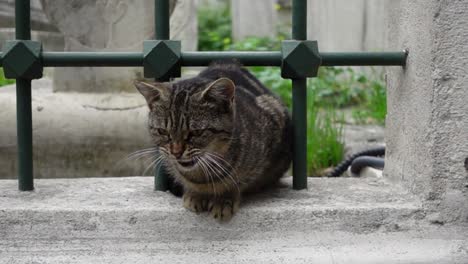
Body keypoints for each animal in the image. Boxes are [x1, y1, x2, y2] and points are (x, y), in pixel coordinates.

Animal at [133, 62, 290, 221]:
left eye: (196, 132)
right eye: (162, 131)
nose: (176, 152)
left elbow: (239, 181)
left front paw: (224, 198)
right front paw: (195, 194)